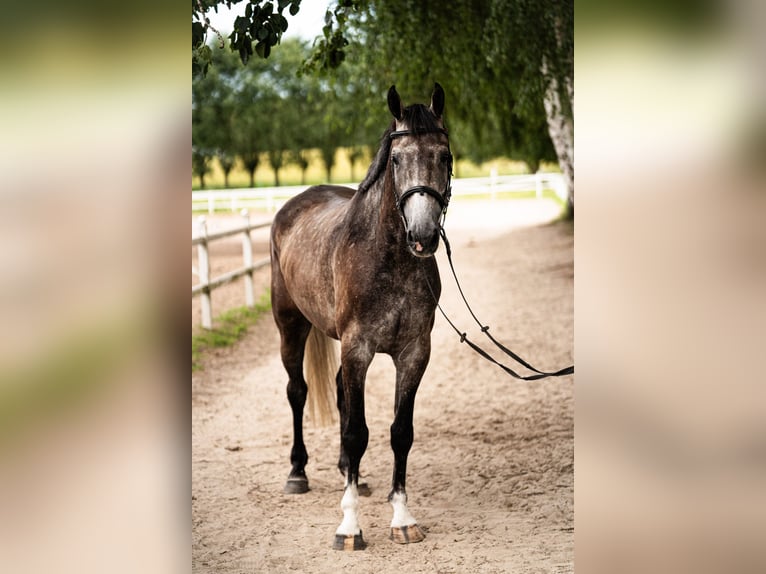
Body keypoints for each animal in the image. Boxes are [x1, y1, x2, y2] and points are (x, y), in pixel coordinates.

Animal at [270, 83, 452, 552]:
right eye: (396, 159)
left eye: (444, 156)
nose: (423, 236)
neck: (387, 257)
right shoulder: (359, 350)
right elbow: (357, 431)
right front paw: (349, 527)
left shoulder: (414, 353)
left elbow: (399, 431)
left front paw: (402, 518)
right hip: (291, 326)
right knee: (297, 391)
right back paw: (297, 472)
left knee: (338, 394)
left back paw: (347, 471)